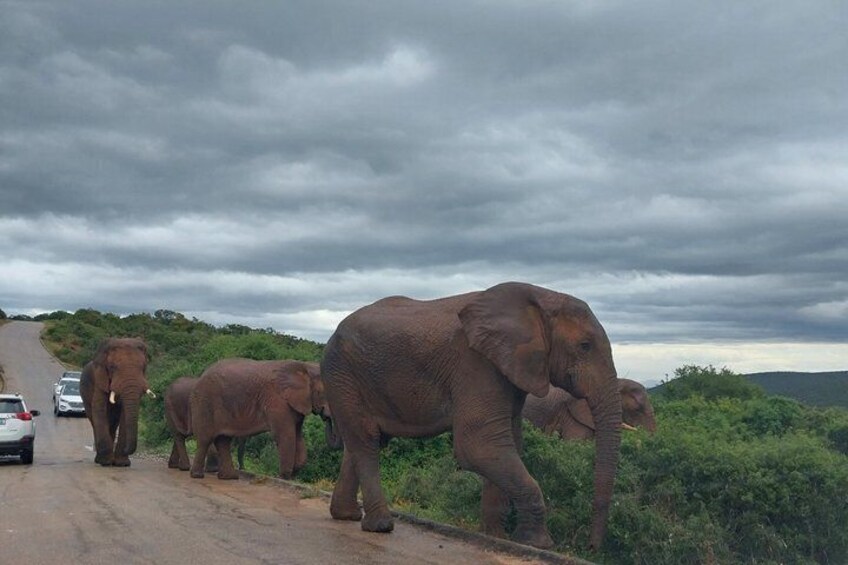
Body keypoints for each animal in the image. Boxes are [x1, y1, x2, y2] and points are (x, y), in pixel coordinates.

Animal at [80, 337, 155, 467]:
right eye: (112, 367)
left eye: (143, 367)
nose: (127, 450)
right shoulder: (100, 381)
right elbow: (99, 409)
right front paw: (105, 462)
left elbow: (124, 413)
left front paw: (122, 463)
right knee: (94, 420)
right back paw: (100, 460)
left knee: (113, 423)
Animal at [189, 358, 338, 480]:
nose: (326, 417)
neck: (305, 367)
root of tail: (202, 374)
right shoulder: (277, 400)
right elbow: (285, 435)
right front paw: (283, 476)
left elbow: (298, 436)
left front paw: (292, 474)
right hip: (205, 401)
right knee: (205, 439)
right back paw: (197, 475)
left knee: (223, 441)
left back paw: (230, 477)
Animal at [322, 282, 622, 550]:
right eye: (585, 346)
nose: (592, 547)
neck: (540, 296)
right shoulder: (476, 363)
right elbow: (479, 445)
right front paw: (538, 544)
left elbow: (507, 444)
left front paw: (496, 537)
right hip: (342, 373)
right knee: (365, 439)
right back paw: (381, 526)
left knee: (363, 441)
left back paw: (347, 516)